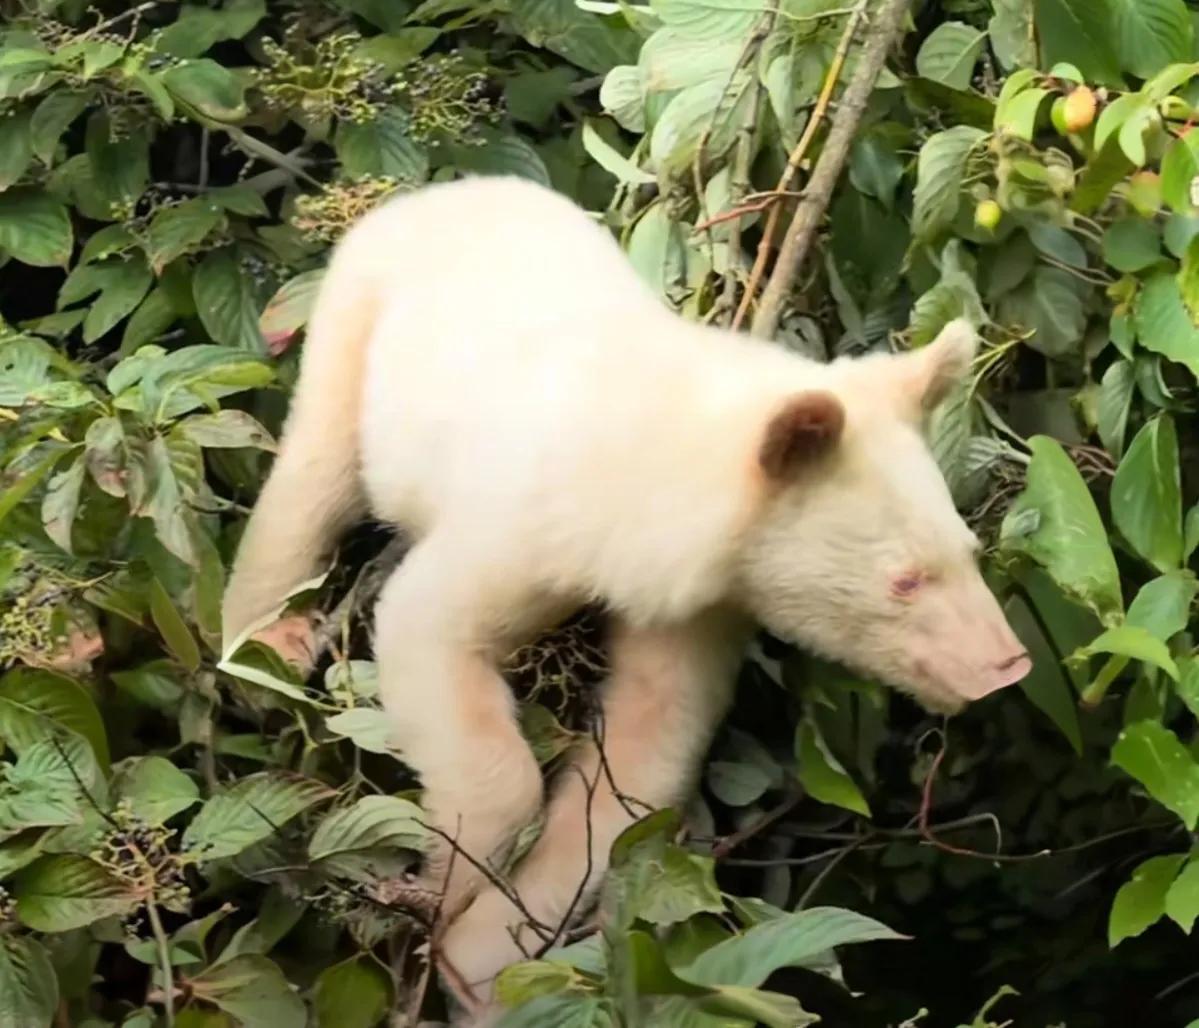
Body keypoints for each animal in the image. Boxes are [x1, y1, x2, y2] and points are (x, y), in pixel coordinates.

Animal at [220, 175, 1030, 1019]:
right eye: (904, 580)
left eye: (966, 552)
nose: (1004, 666)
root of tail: (446, 190)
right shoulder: (530, 520)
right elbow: (430, 631)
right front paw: (449, 876)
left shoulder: (699, 605)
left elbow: (642, 757)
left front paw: (482, 959)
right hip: (356, 318)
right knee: (313, 473)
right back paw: (265, 647)